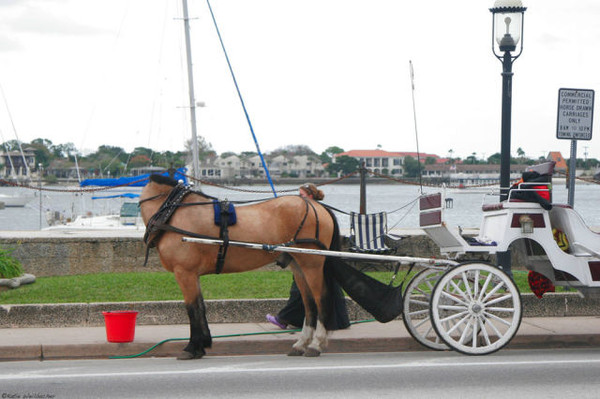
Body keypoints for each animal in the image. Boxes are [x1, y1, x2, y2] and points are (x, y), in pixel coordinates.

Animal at [139, 174, 404, 360]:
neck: (172, 211)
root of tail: (316, 206)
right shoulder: (192, 275)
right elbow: (201, 308)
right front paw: (203, 344)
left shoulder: (184, 272)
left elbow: (193, 309)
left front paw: (193, 347)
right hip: (298, 265)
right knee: (309, 304)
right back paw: (301, 343)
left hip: (312, 263)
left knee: (321, 299)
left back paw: (316, 343)